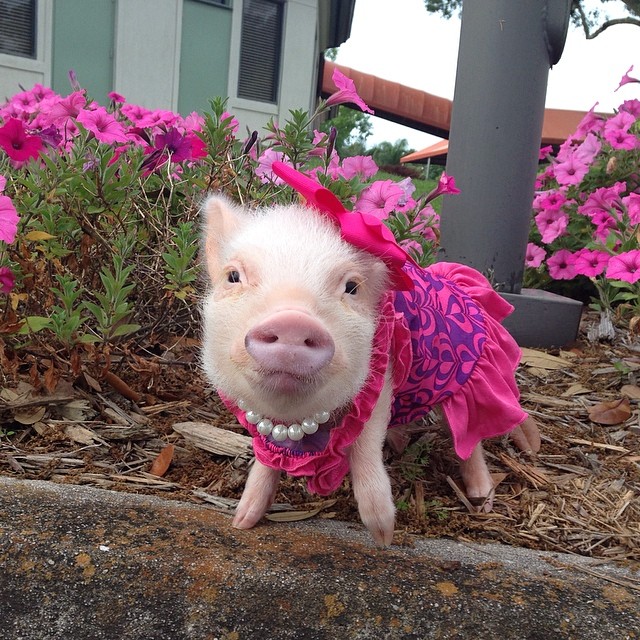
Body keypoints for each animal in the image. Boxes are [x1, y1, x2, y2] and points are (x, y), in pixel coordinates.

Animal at [201, 161, 540, 546]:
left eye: (351, 287)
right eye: (233, 276)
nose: (292, 321)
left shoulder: (382, 376)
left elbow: (366, 442)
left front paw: (383, 534)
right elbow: (266, 460)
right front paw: (242, 521)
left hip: (473, 376)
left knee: (484, 429)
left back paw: (495, 485)